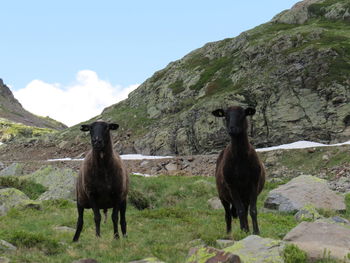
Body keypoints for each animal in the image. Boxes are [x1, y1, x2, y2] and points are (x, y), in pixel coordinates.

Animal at [211, 106, 266, 236]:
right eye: (225, 116)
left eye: (243, 115)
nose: (232, 129)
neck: (241, 159)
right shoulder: (232, 186)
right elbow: (240, 210)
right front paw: (243, 231)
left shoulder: (253, 184)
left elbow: (253, 210)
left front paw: (256, 232)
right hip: (223, 196)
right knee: (228, 214)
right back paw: (229, 232)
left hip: (245, 195)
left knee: (245, 211)